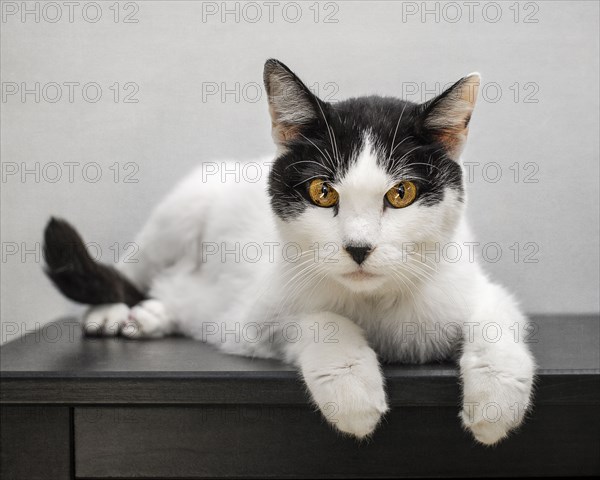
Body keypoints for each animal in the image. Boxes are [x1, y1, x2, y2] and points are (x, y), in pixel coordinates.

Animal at [44, 58, 536, 444]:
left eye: (402, 194)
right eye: (322, 191)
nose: (358, 248)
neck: (376, 303)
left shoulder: (470, 282)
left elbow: (495, 317)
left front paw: (496, 403)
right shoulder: (254, 318)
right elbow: (319, 319)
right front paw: (352, 389)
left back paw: (152, 315)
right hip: (176, 214)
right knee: (132, 272)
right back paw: (112, 313)